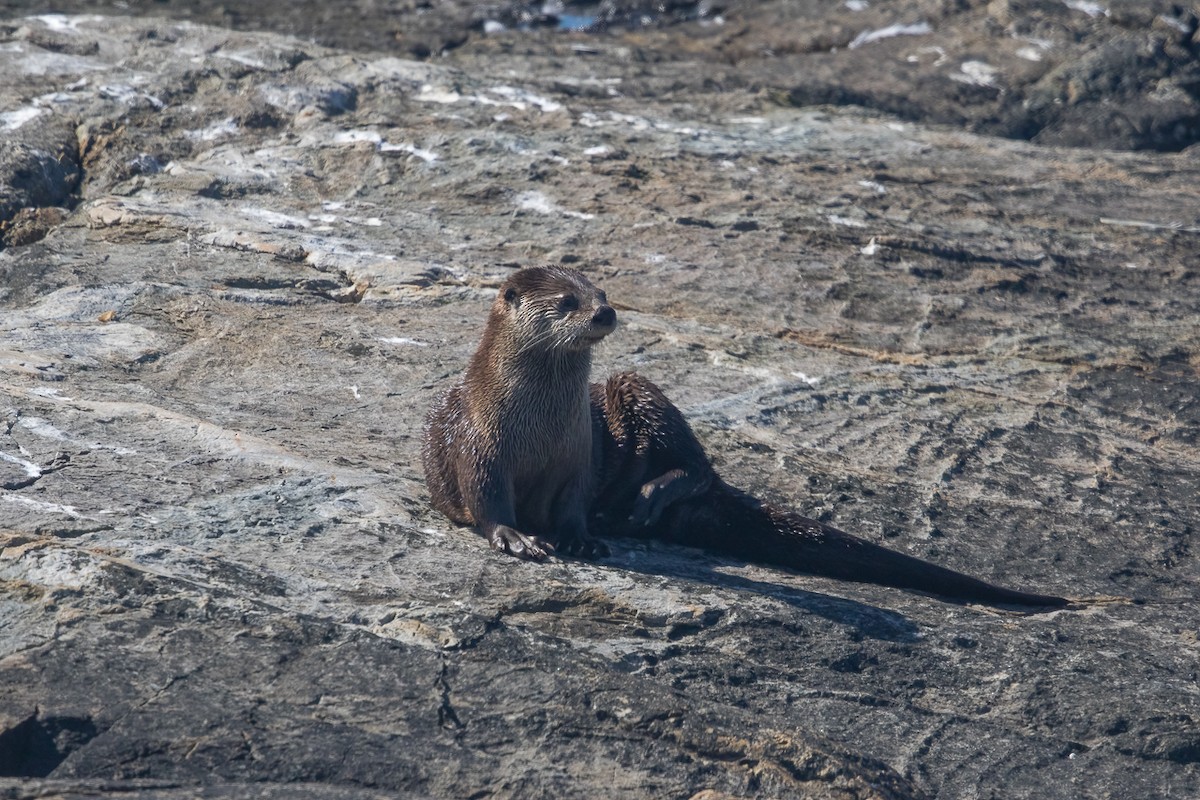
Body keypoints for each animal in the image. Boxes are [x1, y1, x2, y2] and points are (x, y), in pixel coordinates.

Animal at [423, 266, 1068, 609]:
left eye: (601, 294)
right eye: (565, 302)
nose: (605, 314)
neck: (536, 428)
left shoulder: (581, 454)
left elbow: (574, 504)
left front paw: (580, 539)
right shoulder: (480, 445)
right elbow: (487, 499)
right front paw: (517, 538)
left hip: (631, 388)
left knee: (697, 465)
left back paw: (644, 500)